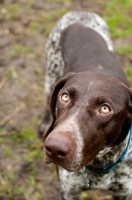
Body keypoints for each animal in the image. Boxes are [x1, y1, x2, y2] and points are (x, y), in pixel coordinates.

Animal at [41, 0, 132, 199]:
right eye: (65, 97)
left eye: (105, 108)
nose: (55, 148)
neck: (100, 165)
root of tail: (79, 13)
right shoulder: (69, 191)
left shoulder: (125, 193)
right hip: (51, 74)